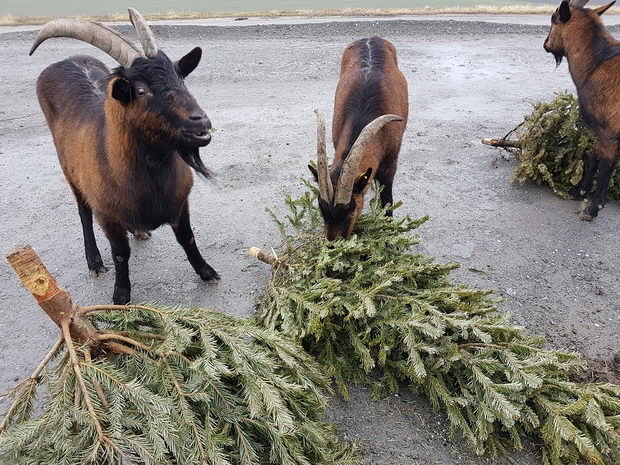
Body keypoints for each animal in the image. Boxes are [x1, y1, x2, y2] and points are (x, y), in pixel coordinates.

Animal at [32, 9, 220, 304]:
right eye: (141, 91)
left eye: (180, 78)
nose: (200, 121)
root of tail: (66, 60)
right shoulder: (107, 215)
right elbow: (120, 254)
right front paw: (121, 295)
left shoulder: (181, 203)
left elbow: (188, 239)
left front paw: (207, 271)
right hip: (70, 172)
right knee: (83, 213)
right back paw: (94, 261)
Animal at [544, 0, 616, 220]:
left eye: (553, 19)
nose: (546, 44)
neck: (597, 64)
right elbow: (593, 157)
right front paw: (579, 191)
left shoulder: (608, 129)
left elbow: (605, 164)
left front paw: (594, 206)